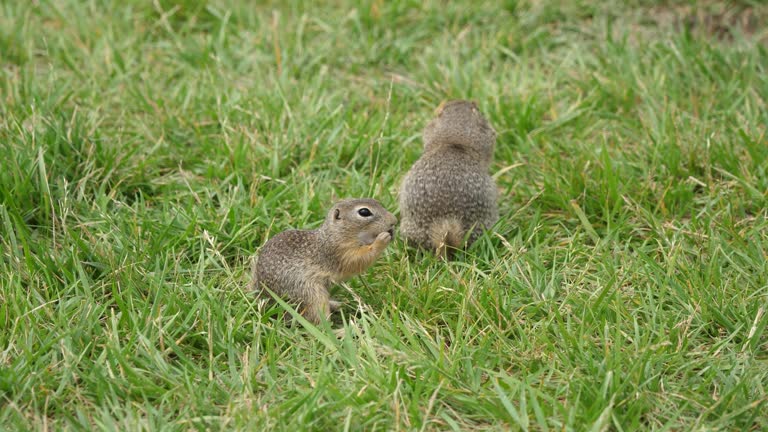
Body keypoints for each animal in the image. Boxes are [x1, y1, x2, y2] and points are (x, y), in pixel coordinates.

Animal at [252, 199, 396, 324]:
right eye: (364, 212)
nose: (394, 221)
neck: (335, 234)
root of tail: (266, 299)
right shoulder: (339, 253)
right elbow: (359, 260)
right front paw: (382, 239)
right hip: (310, 294)